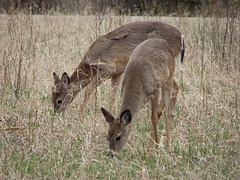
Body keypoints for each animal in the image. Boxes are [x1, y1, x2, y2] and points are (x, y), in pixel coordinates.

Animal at [51, 20, 185, 116]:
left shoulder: (107, 68)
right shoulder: (117, 72)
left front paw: (81, 116)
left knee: (173, 86)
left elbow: (88, 89)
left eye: (59, 100)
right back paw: (164, 113)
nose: (56, 113)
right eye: (51, 98)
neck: (88, 66)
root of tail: (181, 37)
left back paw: (161, 113)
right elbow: (112, 95)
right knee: (174, 86)